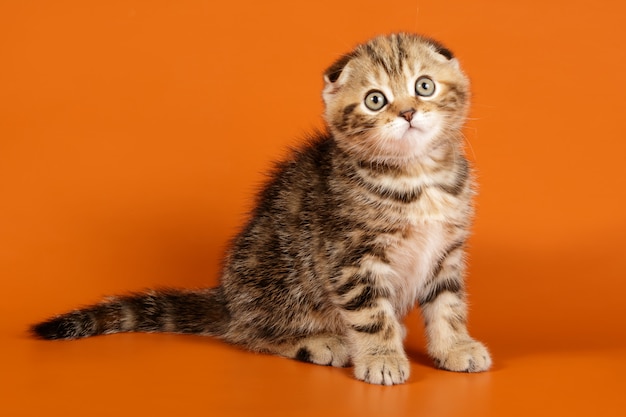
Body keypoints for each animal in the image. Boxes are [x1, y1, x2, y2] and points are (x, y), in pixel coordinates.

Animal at [31, 32, 490, 384]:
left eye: (424, 86)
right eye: (375, 100)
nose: (408, 112)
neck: (417, 176)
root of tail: (228, 300)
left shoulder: (447, 252)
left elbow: (448, 304)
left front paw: (456, 346)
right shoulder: (349, 256)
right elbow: (370, 313)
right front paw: (381, 357)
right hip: (280, 276)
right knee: (248, 333)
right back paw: (318, 342)